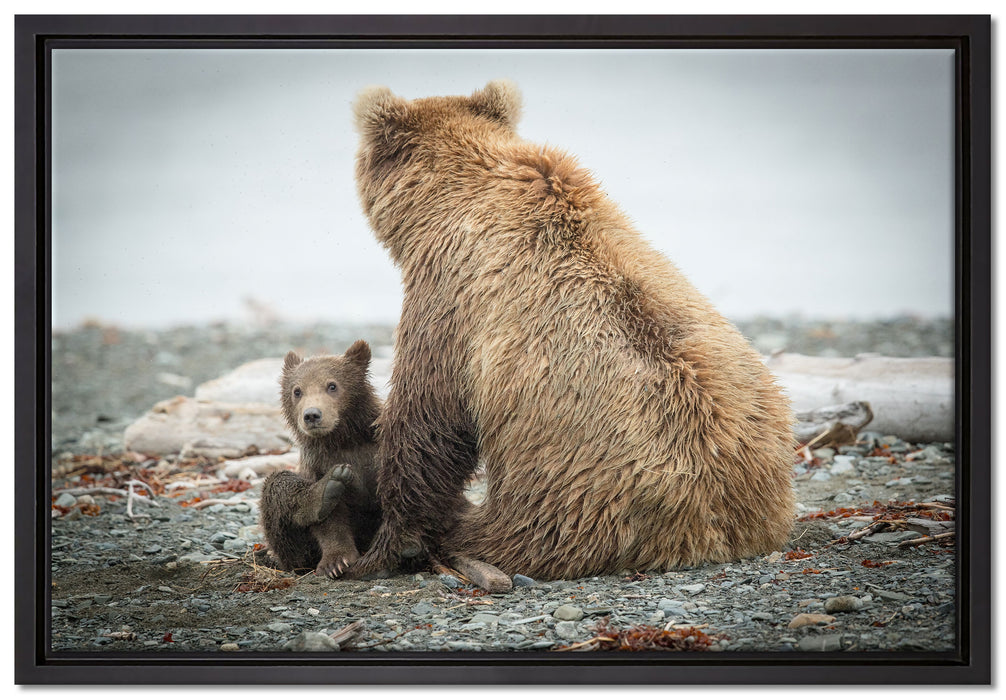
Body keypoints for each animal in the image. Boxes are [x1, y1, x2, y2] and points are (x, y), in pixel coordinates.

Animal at [259, 340, 382, 578]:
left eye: (332, 386)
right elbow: (330, 522)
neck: (343, 439)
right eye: (297, 391)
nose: (312, 415)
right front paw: (336, 562)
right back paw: (324, 491)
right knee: (277, 484)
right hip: (295, 552)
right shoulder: (318, 464)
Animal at [347, 80, 796, 581]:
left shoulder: (450, 296)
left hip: (571, 496)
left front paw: (384, 547)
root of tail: (714, 530)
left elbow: (427, 418)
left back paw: (459, 536)